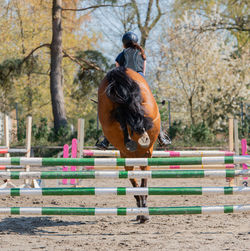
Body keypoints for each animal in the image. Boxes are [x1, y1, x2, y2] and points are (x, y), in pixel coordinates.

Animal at [97, 66, 160, 222]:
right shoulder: (143, 156)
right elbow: (140, 183)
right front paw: (142, 210)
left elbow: (137, 182)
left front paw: (141, 209)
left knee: (122, 116)